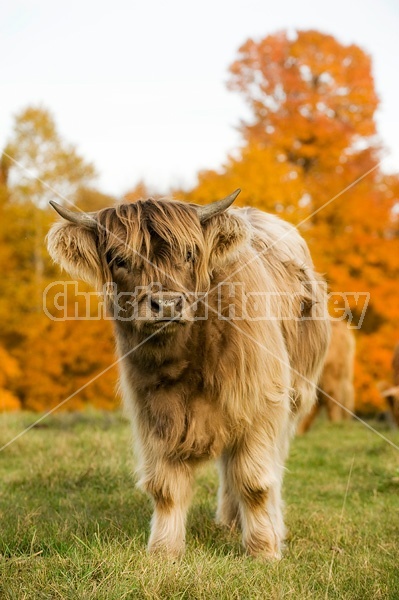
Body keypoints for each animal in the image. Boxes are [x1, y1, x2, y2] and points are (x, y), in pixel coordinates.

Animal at [47, 191, 330, 556]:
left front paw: (264, 550)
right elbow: (165, 487)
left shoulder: (260, 404)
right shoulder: (153, 413)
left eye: (188, 253)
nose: (166, 304)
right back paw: (229, 521)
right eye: (119, 259)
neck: (186, 358)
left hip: (294, 398)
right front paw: (164, 550)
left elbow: (254, 481)